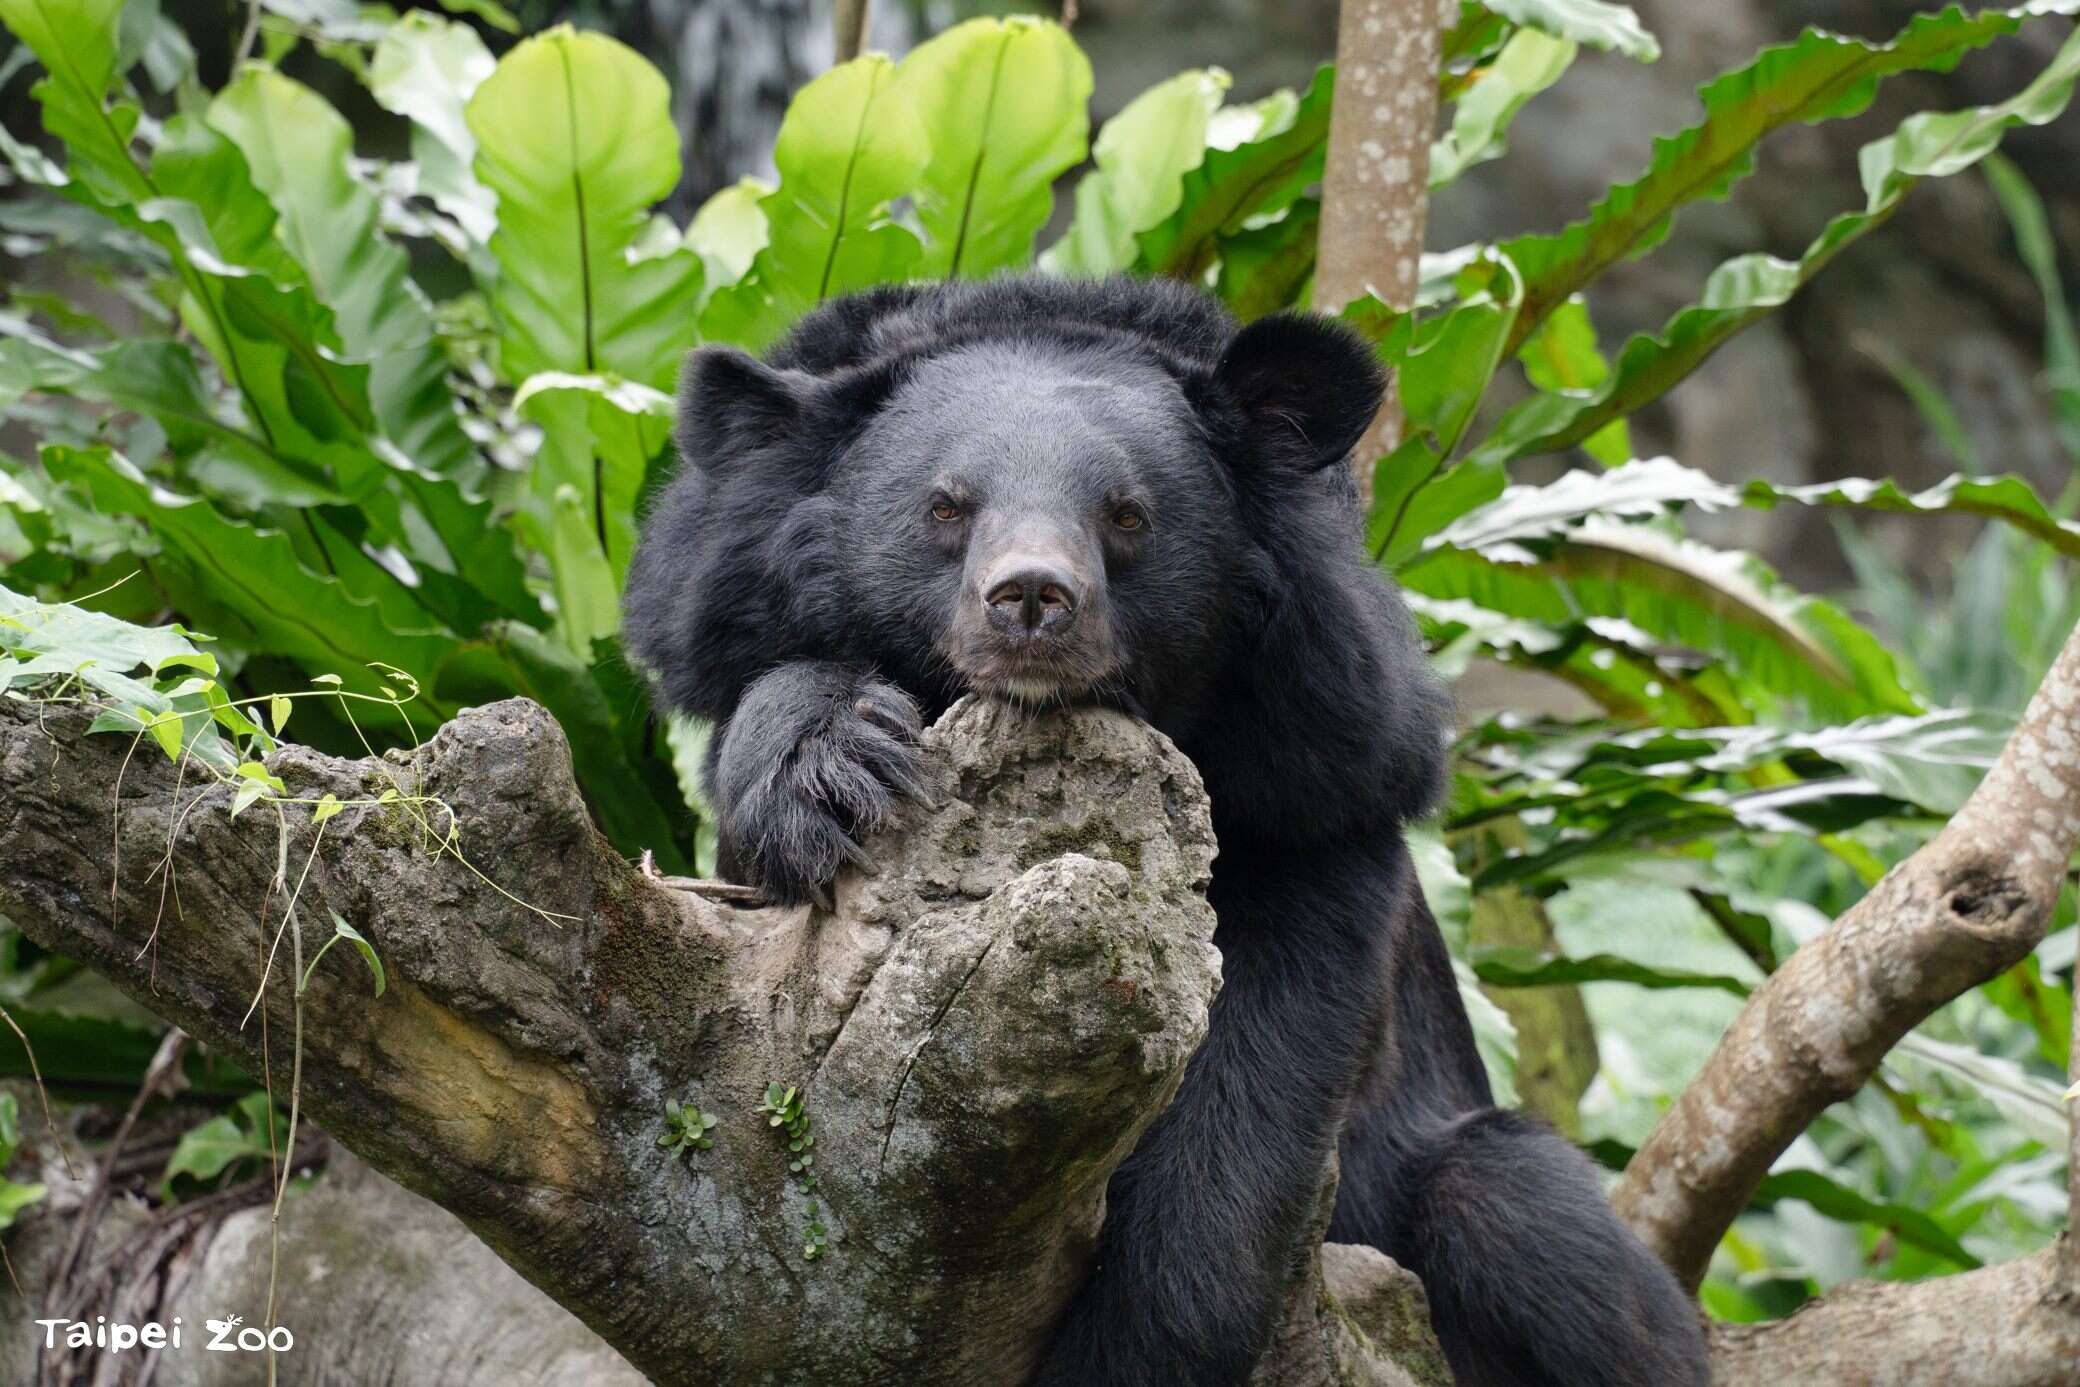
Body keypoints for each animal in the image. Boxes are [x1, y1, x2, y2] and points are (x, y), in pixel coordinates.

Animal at [623, 274, 1709, 1387]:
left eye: (1126, 513)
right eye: (944, 505)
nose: (1030, 599)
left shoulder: (1316, 788)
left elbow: (1256, 1066)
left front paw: (1132, 1343)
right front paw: (832, 764)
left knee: (1520, 1216)